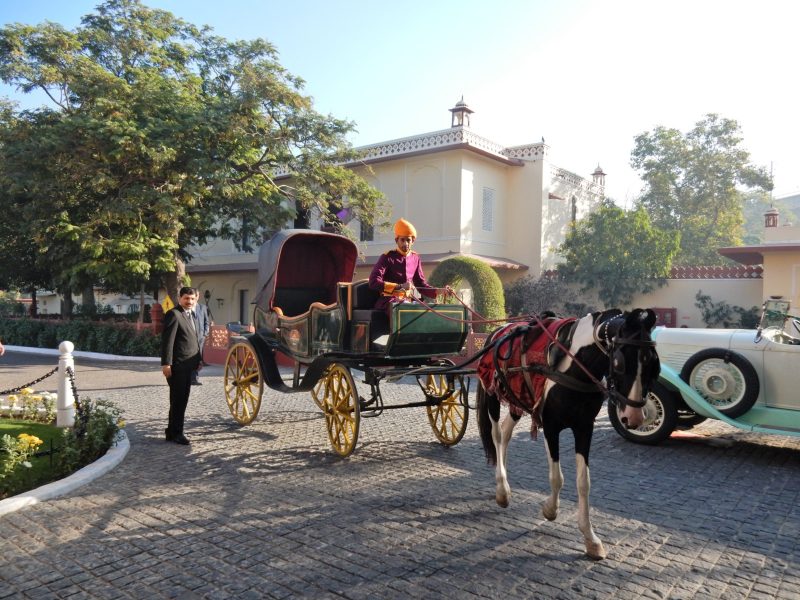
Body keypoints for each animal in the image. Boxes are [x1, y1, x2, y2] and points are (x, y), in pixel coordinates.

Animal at [478, 308, 660, 560]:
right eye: (619, 363)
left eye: (653, 364)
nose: (634, 417)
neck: (574, 365)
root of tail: (498, 331)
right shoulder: (550, 426)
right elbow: (557, 477)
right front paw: (550, 510)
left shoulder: (584, 428)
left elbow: (584, 482)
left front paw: (590, 538)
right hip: (493, 395)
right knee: (496, 435)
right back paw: (502, 488)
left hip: (518, 398)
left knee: (505, 433)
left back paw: (503, 484)